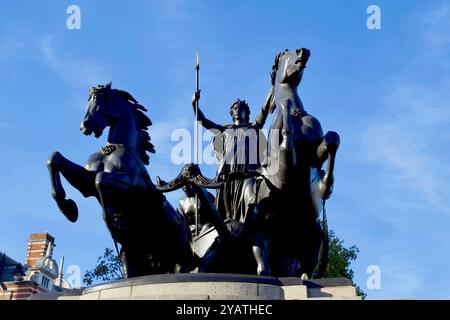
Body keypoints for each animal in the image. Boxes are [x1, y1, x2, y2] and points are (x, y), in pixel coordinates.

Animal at [47, 82, 193, 278]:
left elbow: (101, 179)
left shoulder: (131, 184)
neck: (113, 149)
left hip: (178, 254)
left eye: (98, 98)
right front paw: (68, 208)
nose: (84, 126)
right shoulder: (86, 182)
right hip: (137, 256)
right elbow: (55, 158)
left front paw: (116, 223)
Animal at [251, 49, 340, 278]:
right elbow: (286, 134)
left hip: (313, 232)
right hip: (262, 225)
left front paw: (326, 185)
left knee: (307, 264)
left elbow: (332, 139)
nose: (304, 51)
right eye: (285, 54)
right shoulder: (282, 168)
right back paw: (267, 273)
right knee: (261, 256)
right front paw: (284, 108)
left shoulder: (315, 154)